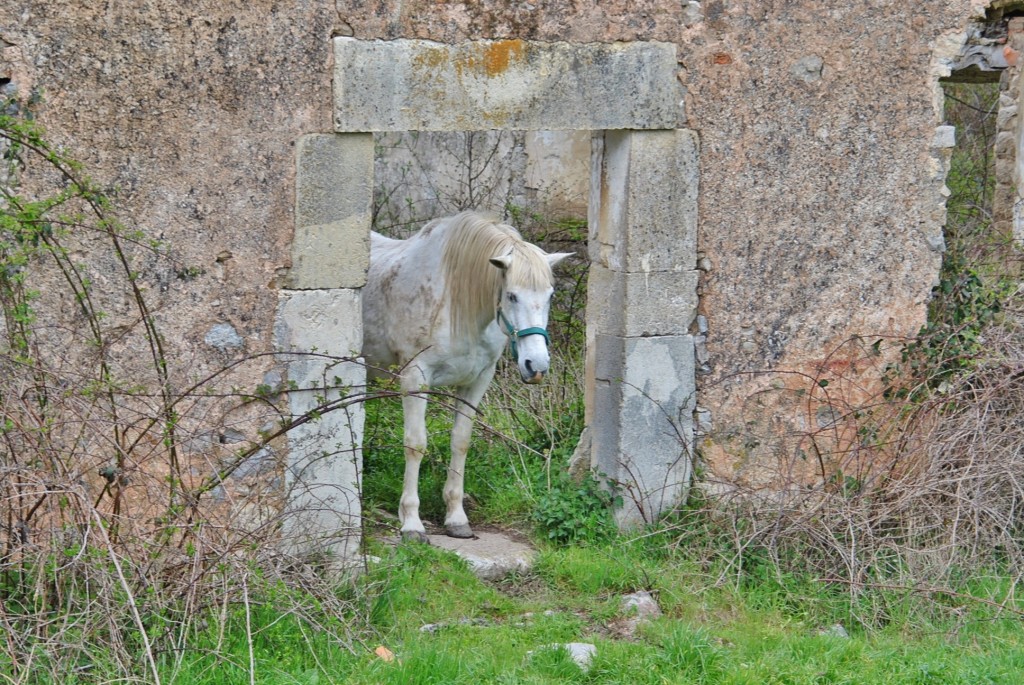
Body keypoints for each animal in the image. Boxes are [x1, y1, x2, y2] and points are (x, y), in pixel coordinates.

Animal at [362, 211, 571, 542]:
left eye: (550, 295)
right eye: (511, 295)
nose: (535, 365)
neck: (454, 301)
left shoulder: (477, 381)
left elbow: (460, 441)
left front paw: (456, 518)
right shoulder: (415, 378)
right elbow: (415, 444)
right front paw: (411, 522)